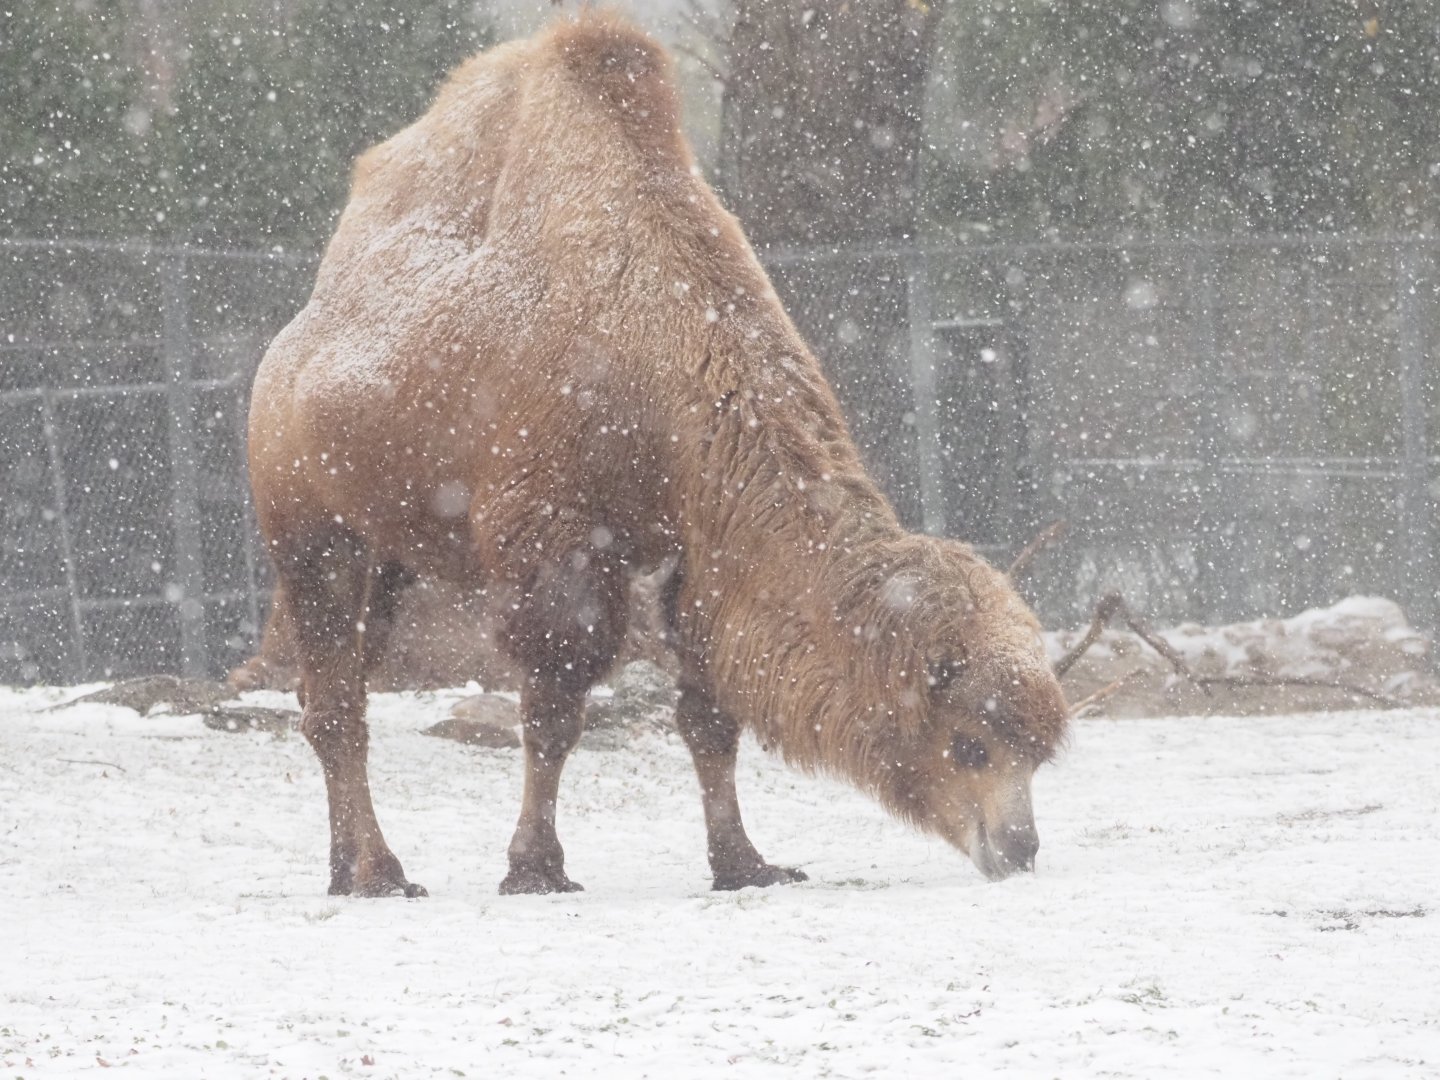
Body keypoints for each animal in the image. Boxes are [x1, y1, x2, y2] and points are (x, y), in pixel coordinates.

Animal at [247, 11, 1069, 898]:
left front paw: (744, 863)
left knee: (334, 689)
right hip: (310, 527)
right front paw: (536, 868)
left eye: (1037, 752)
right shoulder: (559, 546)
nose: (1019, 848)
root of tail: (287, 355)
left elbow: (707, 719)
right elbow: (554, 711)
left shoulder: (700, 554)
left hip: (390, 550)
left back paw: (345, 868)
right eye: (970, 742)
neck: (659, 357)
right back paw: (380, 871)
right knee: (339, 701)